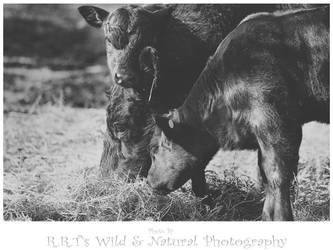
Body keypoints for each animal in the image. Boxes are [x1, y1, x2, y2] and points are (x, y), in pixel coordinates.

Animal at [147, 6, 326, 221]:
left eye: (155, 151)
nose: (148, 181)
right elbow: (265, 173)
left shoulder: (278, 124)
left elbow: (278, 174)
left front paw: (281, 217)